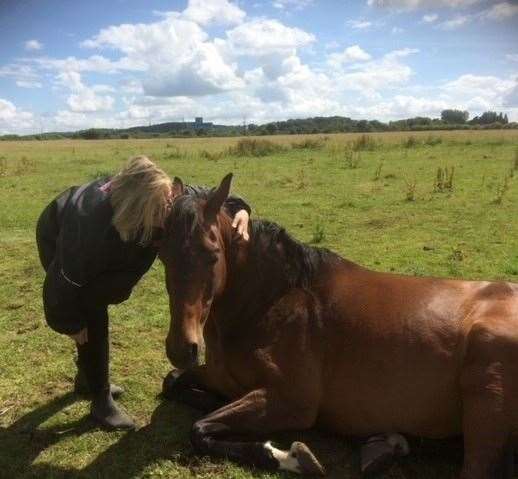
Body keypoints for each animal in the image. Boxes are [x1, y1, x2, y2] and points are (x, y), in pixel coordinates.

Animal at [158, 174, 518, 478]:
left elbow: (198, 430)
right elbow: (173, 383)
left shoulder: (291, 401)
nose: (181, 348)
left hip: (486, 390)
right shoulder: (222, 376)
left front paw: (294, 457)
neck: (273, 299)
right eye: (162, 256)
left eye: (212, 254)